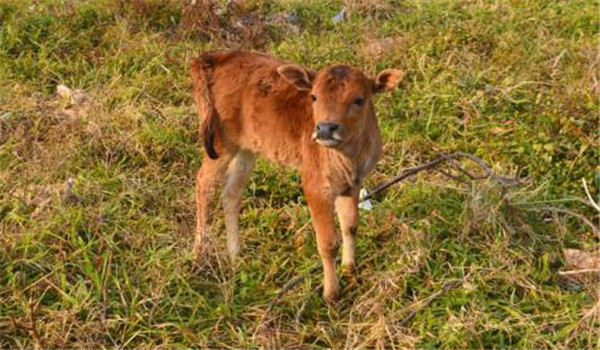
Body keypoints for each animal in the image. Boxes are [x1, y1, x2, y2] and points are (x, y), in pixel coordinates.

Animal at [190, 50, 400, 304]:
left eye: (359, 100)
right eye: (314, 97)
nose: (325, 128)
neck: (349, 157)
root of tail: (214, 56)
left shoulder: (352, 183)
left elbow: (350, 225)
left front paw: (350, 270)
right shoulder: (314, 184)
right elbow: (328, 242)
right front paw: (331, 294)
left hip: (247, 148)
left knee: (231, 192)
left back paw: (235, 254)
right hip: (221, 143)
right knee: (204, 184)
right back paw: (199, 253)